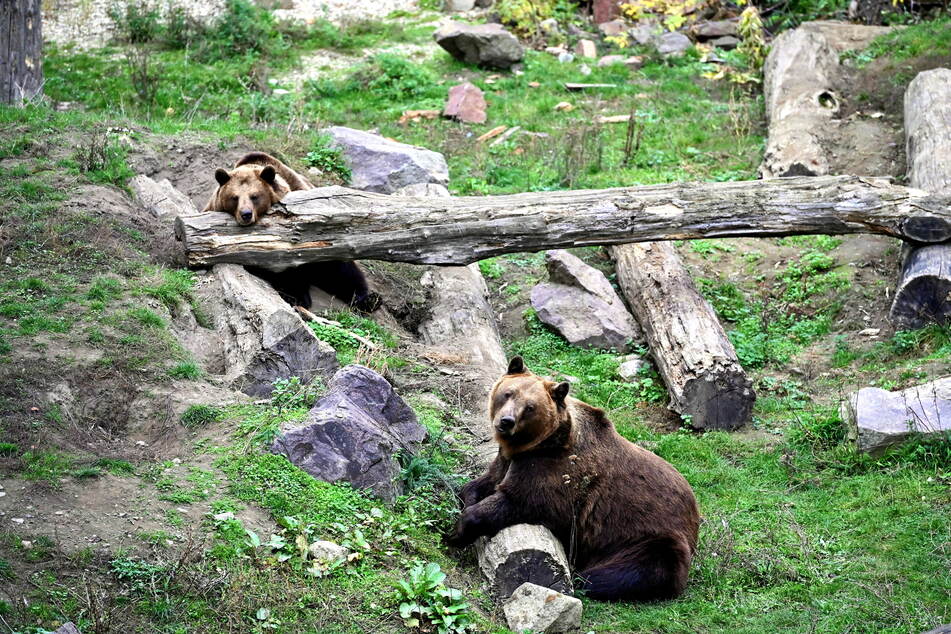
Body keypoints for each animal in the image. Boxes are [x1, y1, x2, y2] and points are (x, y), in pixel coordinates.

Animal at [206, 151, 382, 314]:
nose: (246, 214)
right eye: (234, 197)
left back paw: (370, 299)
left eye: (254, 196)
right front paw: (296, 295)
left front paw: (298, 295)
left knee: (343, 270)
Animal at [446, 358, 700, 600]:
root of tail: (694, 511)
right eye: (508, 393)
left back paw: (582, 575)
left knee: (639, 569)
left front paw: (458, 531)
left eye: (530, 407)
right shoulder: (509, 460)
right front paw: (467, 501)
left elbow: (519, 500)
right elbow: (483, 482)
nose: (506, 421)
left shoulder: (555, 471)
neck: (535, 446)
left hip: (651, 537)